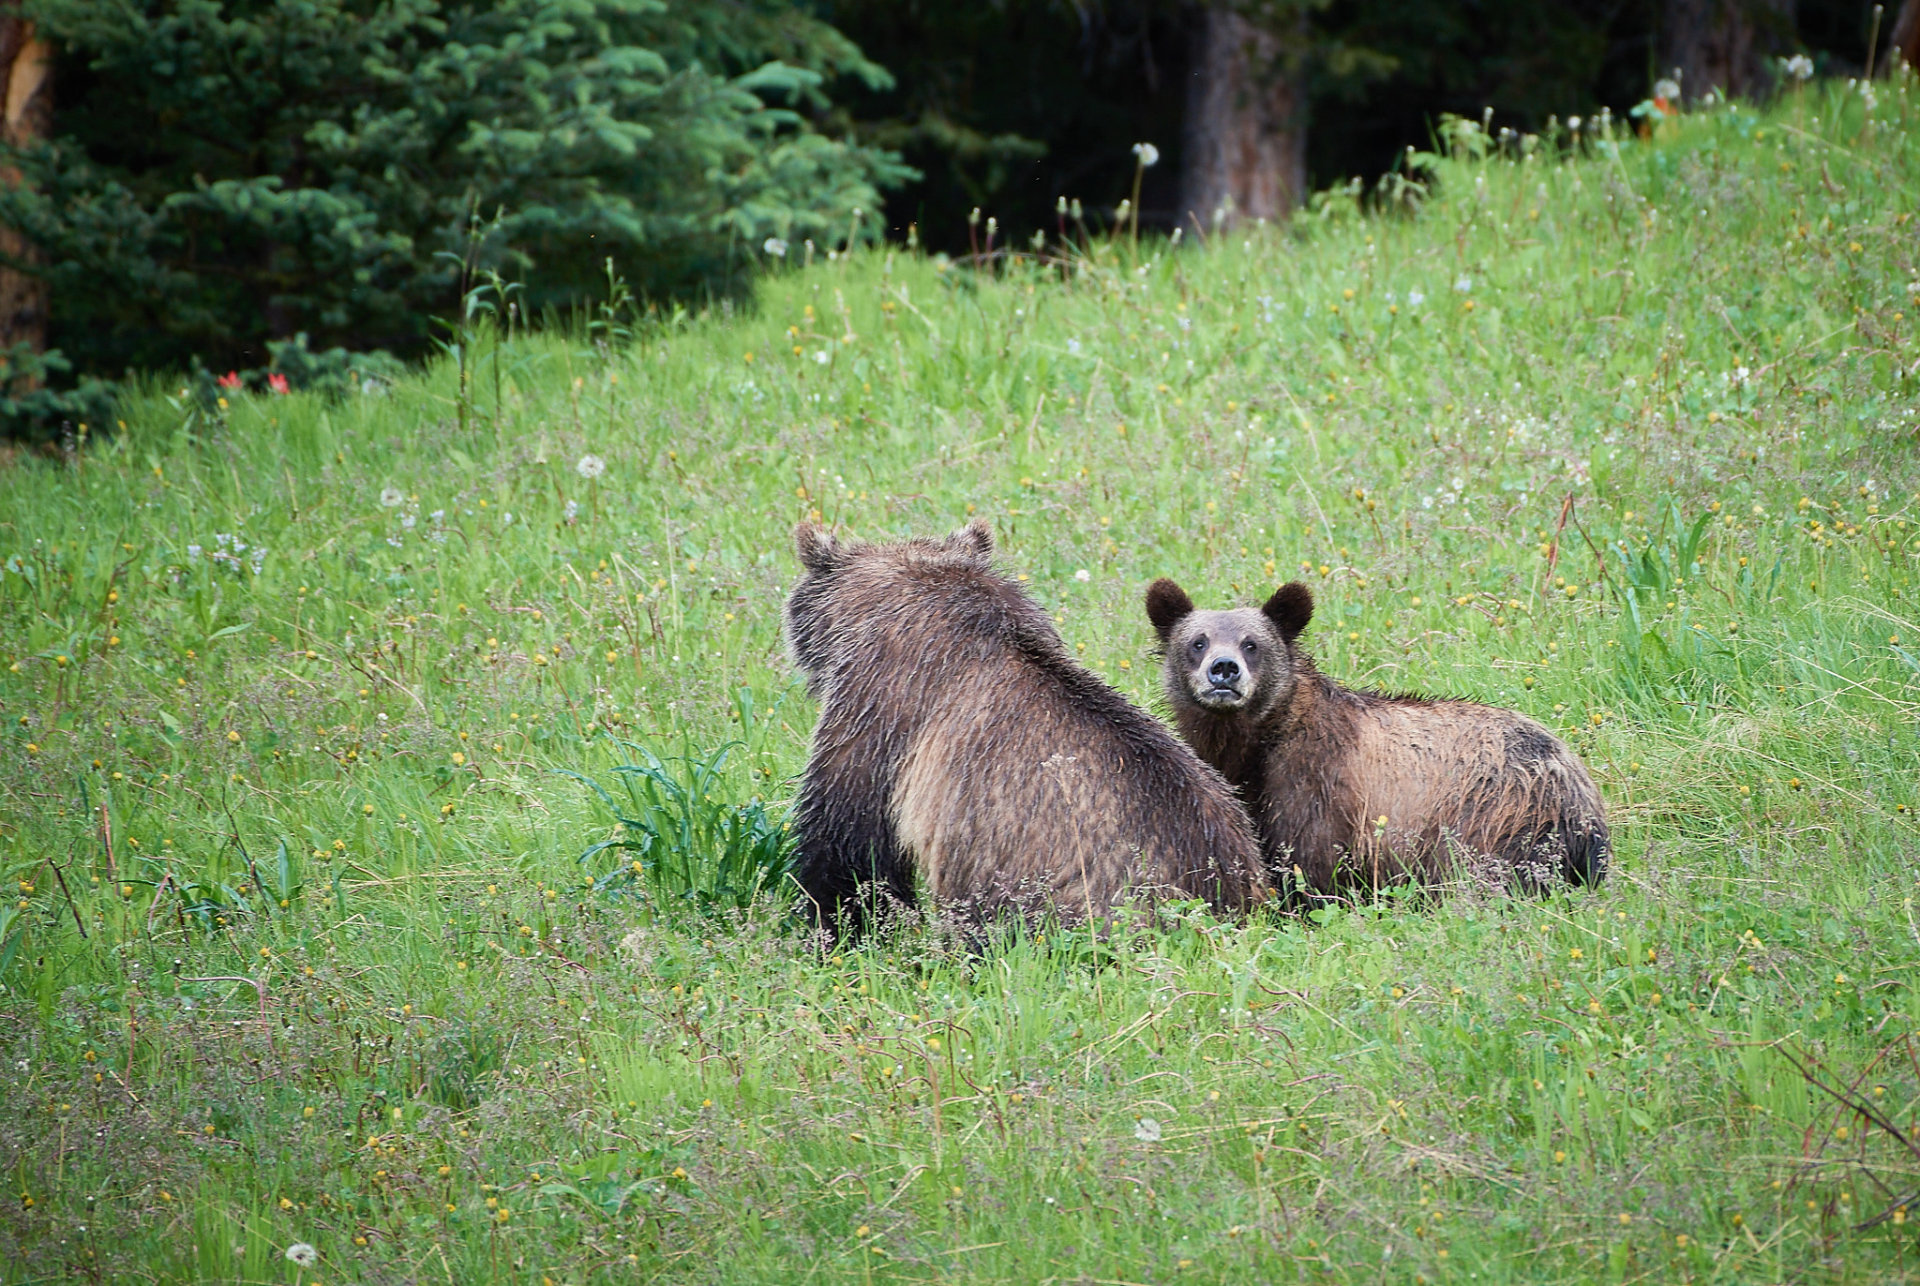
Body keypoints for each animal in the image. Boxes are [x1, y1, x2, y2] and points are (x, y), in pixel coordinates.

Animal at [1144, 579, 1612, 902]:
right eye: (1197, 641)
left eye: (1252, 643)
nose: (1224, 669)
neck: (1259, 742)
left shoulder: (1318, 785)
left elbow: (1312, 868)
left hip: (1493, 817)